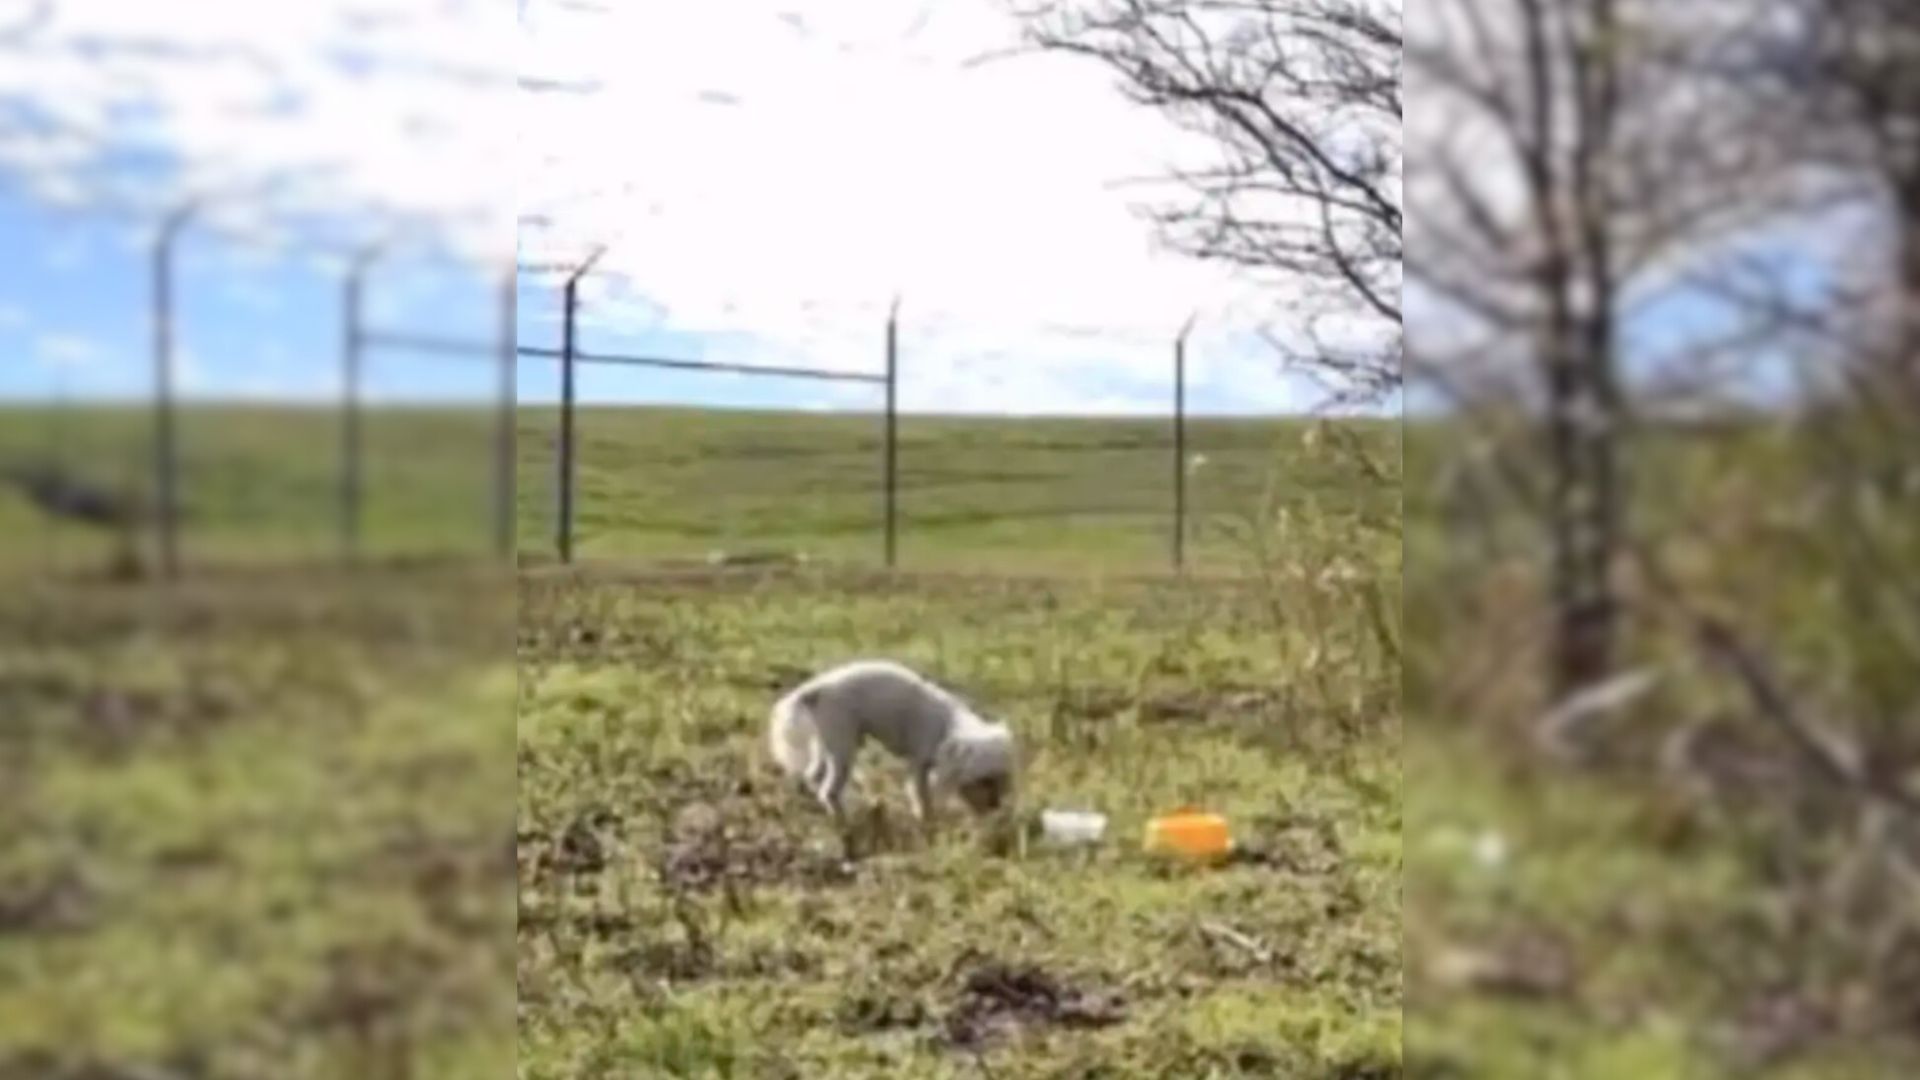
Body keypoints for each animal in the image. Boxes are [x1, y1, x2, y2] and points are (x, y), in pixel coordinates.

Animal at [768, 657, 1021, 822]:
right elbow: (920, 793)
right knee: (828, 790)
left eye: (1002, 778)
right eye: (983, 780)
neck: (946, 724)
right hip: (843, 746)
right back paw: (842, 817)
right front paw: (926, 818)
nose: (995, 806)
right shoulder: (919, 762)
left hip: (827, 742)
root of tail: (815, 690)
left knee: (813, 776)